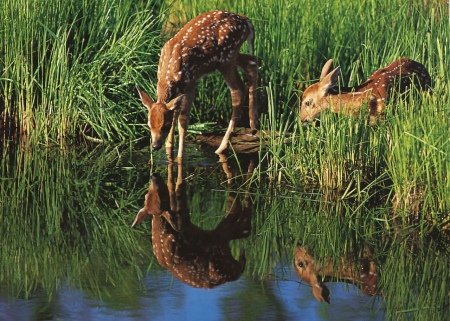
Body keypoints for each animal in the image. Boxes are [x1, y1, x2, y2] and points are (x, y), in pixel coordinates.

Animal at [137, 10, 258, 159]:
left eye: (164, 125)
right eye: (149, 125)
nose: (155, 146)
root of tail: (246, 20)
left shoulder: (191, 83)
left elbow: (182, 121)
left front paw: (179, 157)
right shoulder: (179, 89)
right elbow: (174, 112)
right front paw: (169, 148)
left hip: (227, 59)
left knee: (239, 90)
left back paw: (222, 148)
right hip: (229, 58)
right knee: (252, 62)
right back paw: (254, 125)